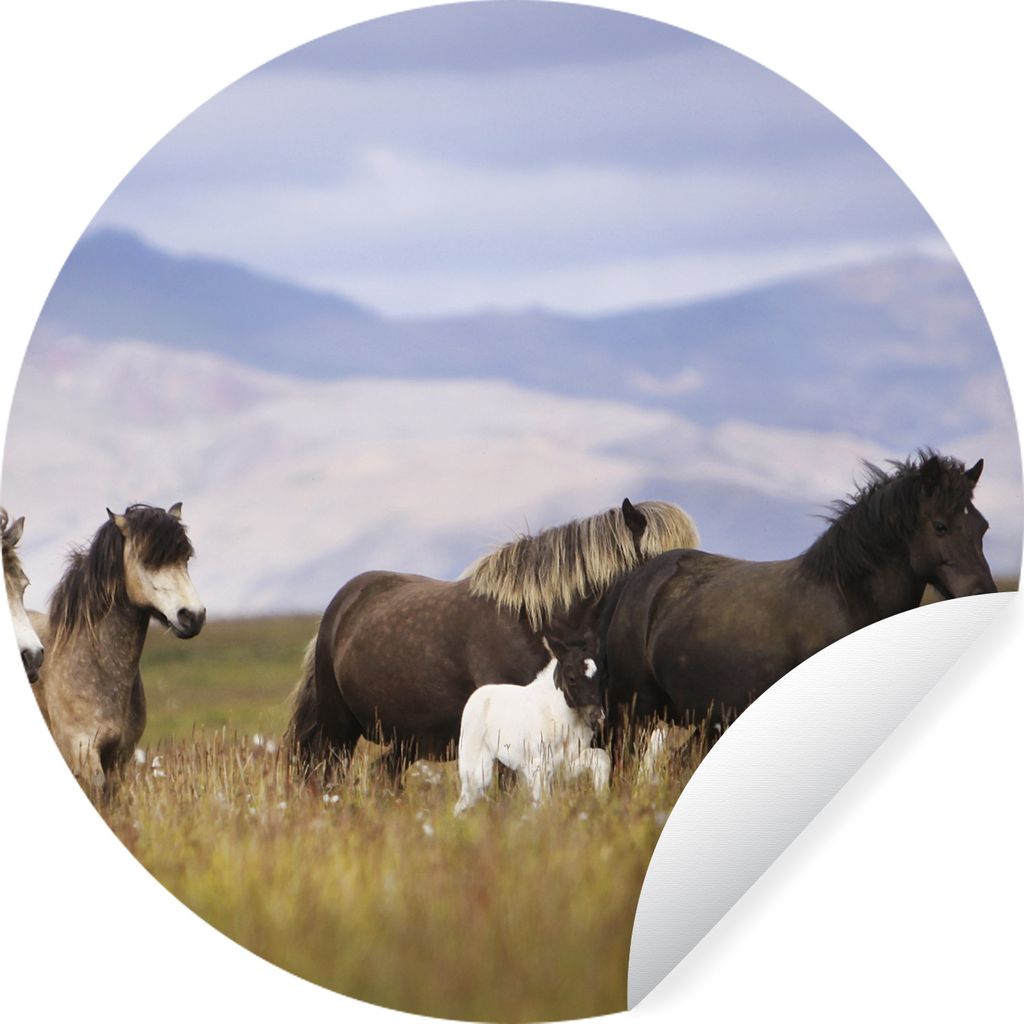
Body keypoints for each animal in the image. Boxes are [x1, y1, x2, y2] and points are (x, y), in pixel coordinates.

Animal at [454, 633, 610, 814]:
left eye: (600, 677)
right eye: (571, 678)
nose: (597, 716)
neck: (558, 716)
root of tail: (476, 696)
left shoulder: (567, 763)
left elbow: (602, 758)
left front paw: (601, 798)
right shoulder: (539, 766)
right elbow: (543, 805)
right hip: (476, 771)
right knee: (462, 804)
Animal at [602, 451, 997, 740]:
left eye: (982, 527)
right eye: (940, 526)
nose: (983, 595)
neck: (847, 600)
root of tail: (646, 575)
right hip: (634, 714)